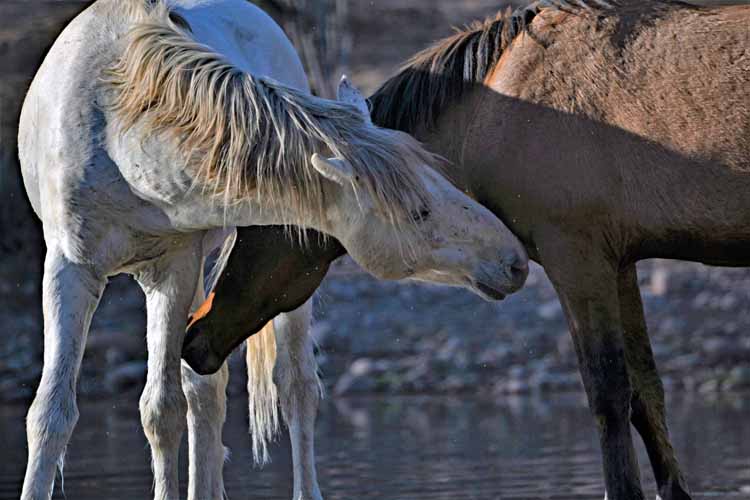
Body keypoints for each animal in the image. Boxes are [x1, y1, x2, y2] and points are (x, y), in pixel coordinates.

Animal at [17, 0, 532, 500]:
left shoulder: (174, 271)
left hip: (282, 280)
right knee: (206, 388)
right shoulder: (70, 268)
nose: (514, 260)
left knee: (290, 387)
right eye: (419, 212)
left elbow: (161, 410)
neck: (117, 129)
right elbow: (51, 414)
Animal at [184, 1, 750, 498]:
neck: (499, 105)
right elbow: (646, 395)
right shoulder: (620, 263)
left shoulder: (579, 260)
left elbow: (608, 394)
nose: (195, 337)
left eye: (254, 226)